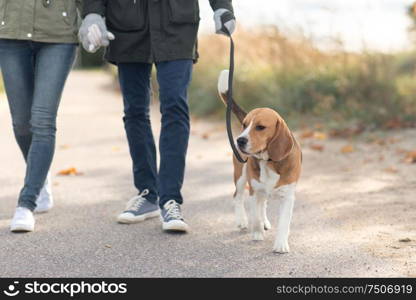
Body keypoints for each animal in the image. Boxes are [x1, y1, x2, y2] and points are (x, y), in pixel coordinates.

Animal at [218, 69, 302, 252]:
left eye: (260, 127)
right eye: (244, 125)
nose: (239, 141)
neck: (268, 161)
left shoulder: (287, 196)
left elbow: (284, 223)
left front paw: (280, 244)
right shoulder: (254, 190)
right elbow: (255, 215)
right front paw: (256, 233)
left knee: (263, 204)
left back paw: (264, 222)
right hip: (241, 177)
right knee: (238, 197)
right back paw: (242, 221)